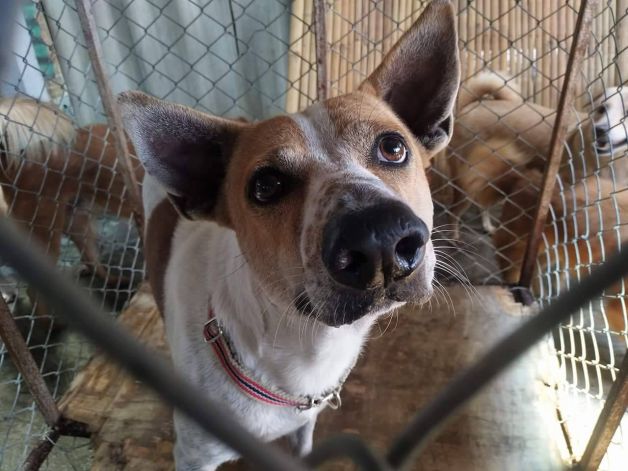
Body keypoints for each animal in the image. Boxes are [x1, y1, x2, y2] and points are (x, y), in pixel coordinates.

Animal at [0, 97, 143, 321]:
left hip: (77, 221)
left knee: (92, 261)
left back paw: (115, 281)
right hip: (45, 234)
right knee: (34, 290)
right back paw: (50, 322)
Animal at [118, 0, 460, 468]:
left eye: (393, 147)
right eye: (265, 186)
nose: (379, 237)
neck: (305, 349)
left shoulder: (303, 429)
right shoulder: (194, 454)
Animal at [444, 71, 628, 240]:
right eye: (602, 109)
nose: (600, 130)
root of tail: (472, 105)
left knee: (483, 203)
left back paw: (487, 226)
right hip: (465, 183)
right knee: (454, 211)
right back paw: (454, 238)